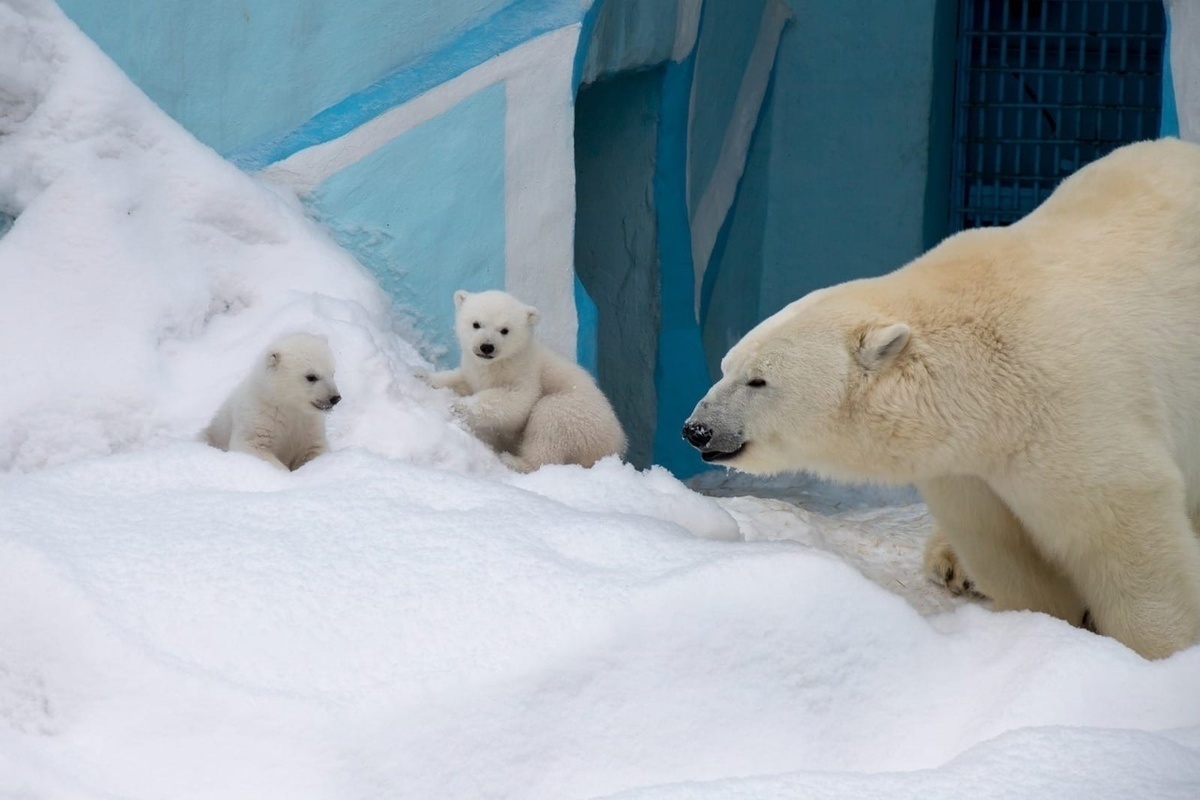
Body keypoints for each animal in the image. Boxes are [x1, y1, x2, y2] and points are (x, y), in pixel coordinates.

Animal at [204, 331, 340, 470]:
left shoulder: (310, 425)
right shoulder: (259, 418)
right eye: (311, 377)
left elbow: (314, 449)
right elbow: (253, 446)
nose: (335, 398)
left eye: (332, 373)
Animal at [432, 291, 628, 472]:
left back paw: (514, 461)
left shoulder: (525, 372)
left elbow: (517, 402)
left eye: (505, 330)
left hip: (580, 419)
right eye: (476, 324)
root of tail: (617, 444)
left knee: (548, 420)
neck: (499, 364)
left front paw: (459, 406)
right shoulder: (473, 371)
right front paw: (428, 378)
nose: (486, 347)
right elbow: (460, 380)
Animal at [681, 139, 1200, 662]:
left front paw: (1164, 653)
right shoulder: (968, 462)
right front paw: (1042, 621)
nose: (696, 429)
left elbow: (1123, 524)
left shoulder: (1070, 405)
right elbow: (1002, 544)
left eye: (758, 381)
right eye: (726, 367)